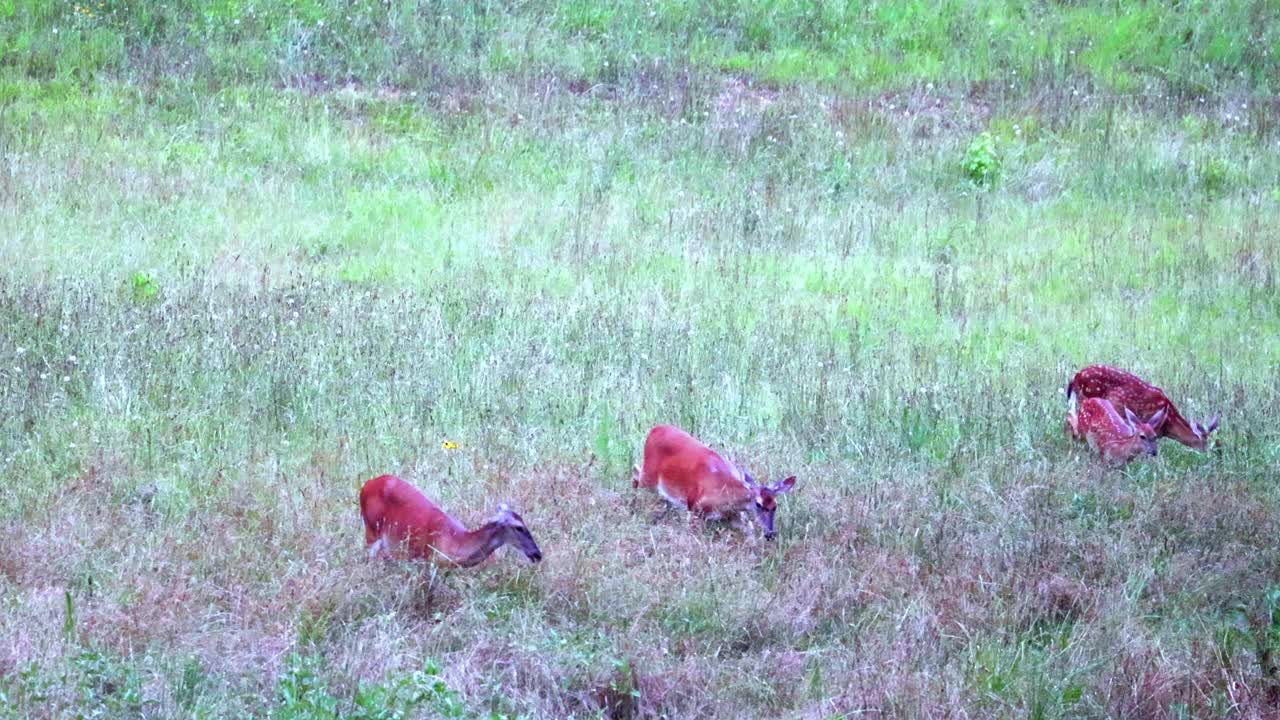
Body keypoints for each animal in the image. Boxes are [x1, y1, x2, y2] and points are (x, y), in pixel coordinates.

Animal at [358, 474, 542, 568]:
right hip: (371, 530)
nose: (537, 554)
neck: (455, 541)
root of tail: (366, 485)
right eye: (519, 527)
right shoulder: (426, 559)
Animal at [632, 420, 793, 538]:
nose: (770, 534)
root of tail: (655, 429)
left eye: (775, 506)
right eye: (758, 504)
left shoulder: (733, 516)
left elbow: (750, 529)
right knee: (635, 472)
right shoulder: (695, 506)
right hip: (649, 474)